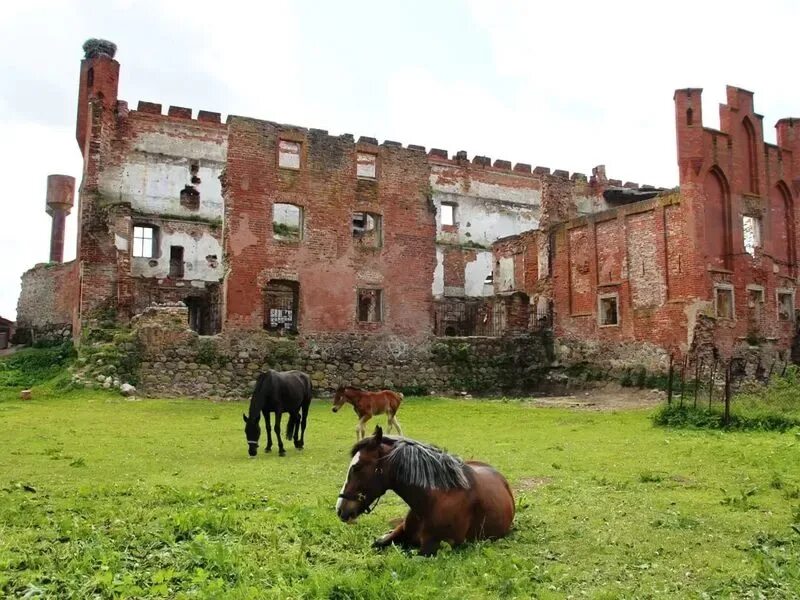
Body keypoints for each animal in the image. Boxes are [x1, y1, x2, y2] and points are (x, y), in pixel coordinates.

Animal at [334, 424, 516, 556]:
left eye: (357, 468)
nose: (340, 509)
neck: (434, 499)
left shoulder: (430, 549)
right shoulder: (402, 531)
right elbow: (378, 543)